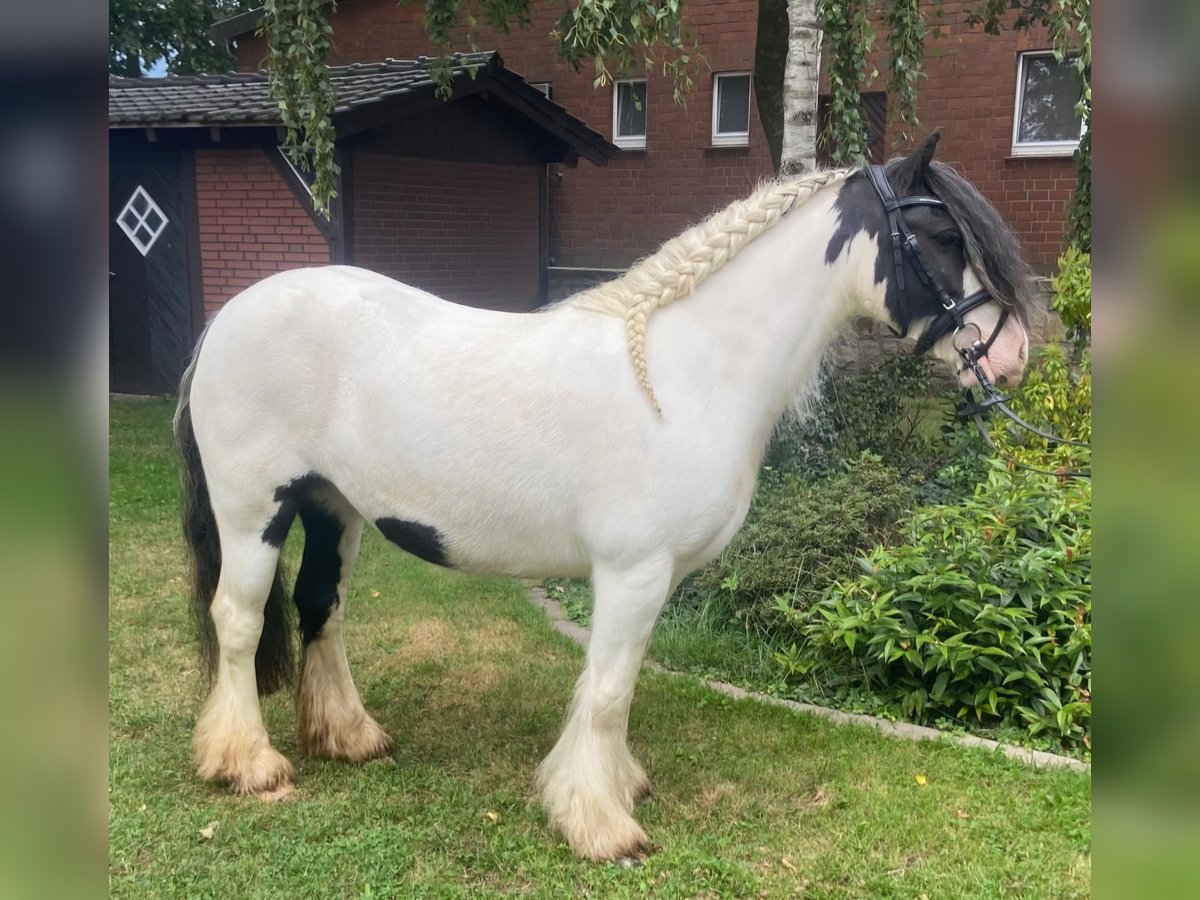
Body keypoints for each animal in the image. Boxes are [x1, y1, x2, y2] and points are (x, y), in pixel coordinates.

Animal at [171, 132, 1032, 859]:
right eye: (943, 236)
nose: (1014, 355)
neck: (684, 375)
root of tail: (225, 322)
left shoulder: (652, 578)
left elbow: (620, 680)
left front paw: (615, 786)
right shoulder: (633, 570)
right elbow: (611, 689)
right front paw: (601, 825)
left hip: (332, 507)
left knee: (322, 607)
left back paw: (350, 738)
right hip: (256, 512)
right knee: (239, 621)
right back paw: (248, 764)